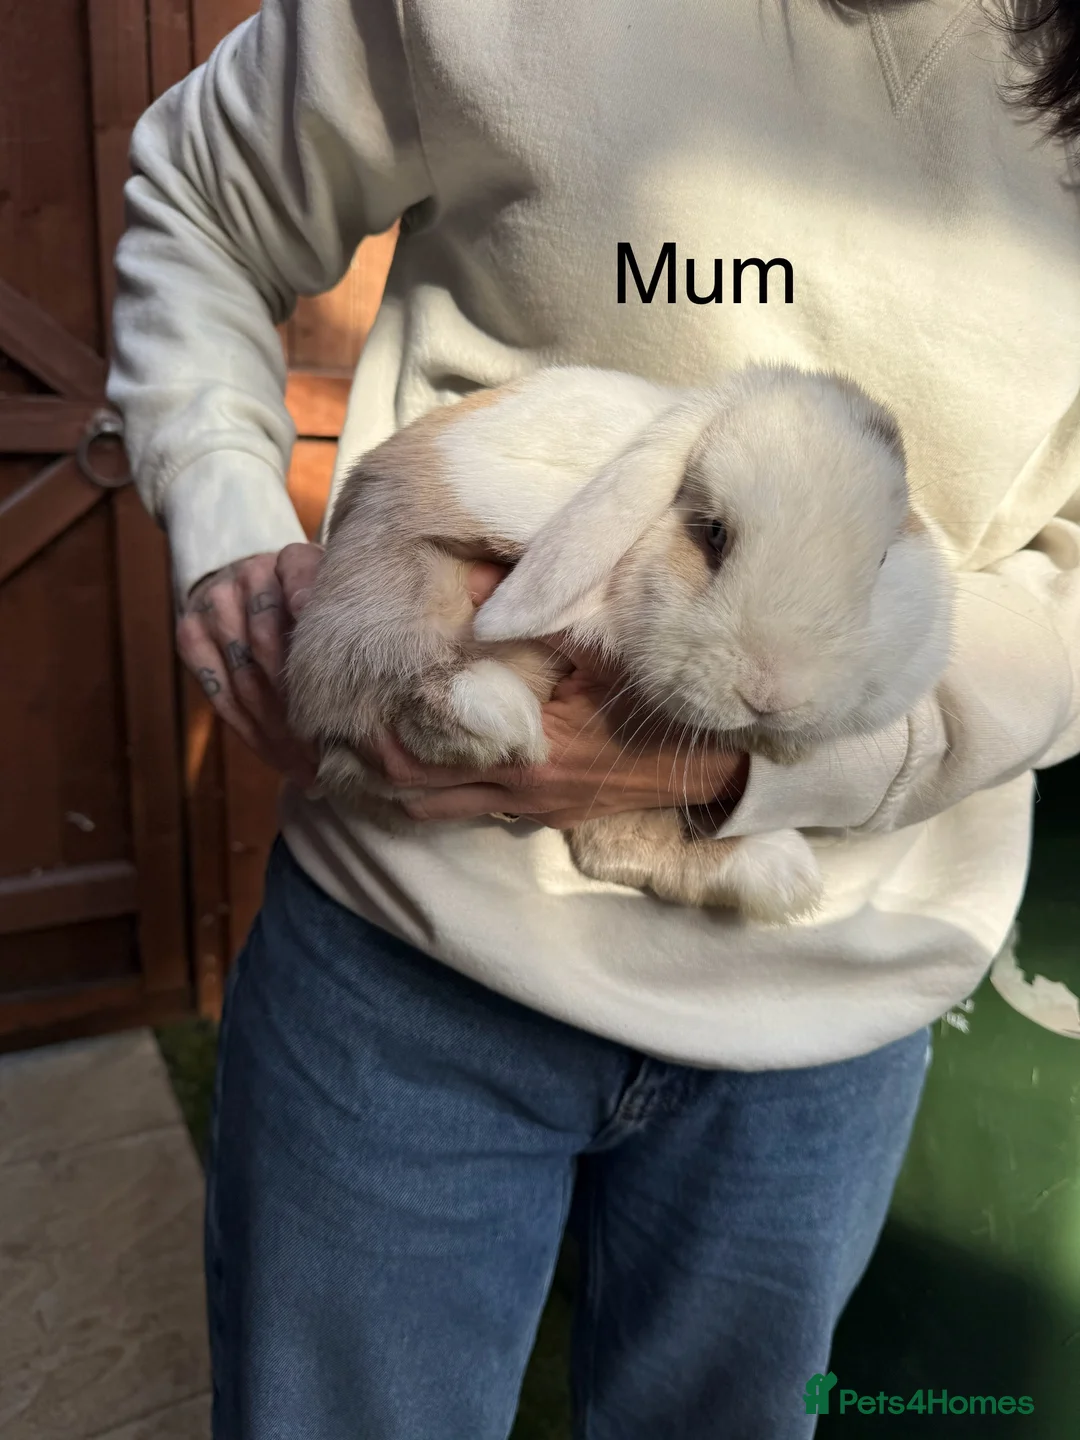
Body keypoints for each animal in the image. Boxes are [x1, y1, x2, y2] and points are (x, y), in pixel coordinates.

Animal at [285, 362, 953, 924]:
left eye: (881, 561)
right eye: (714, 535)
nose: (771, 694)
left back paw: (774, 873)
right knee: (354, 669)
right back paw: (486, 709)